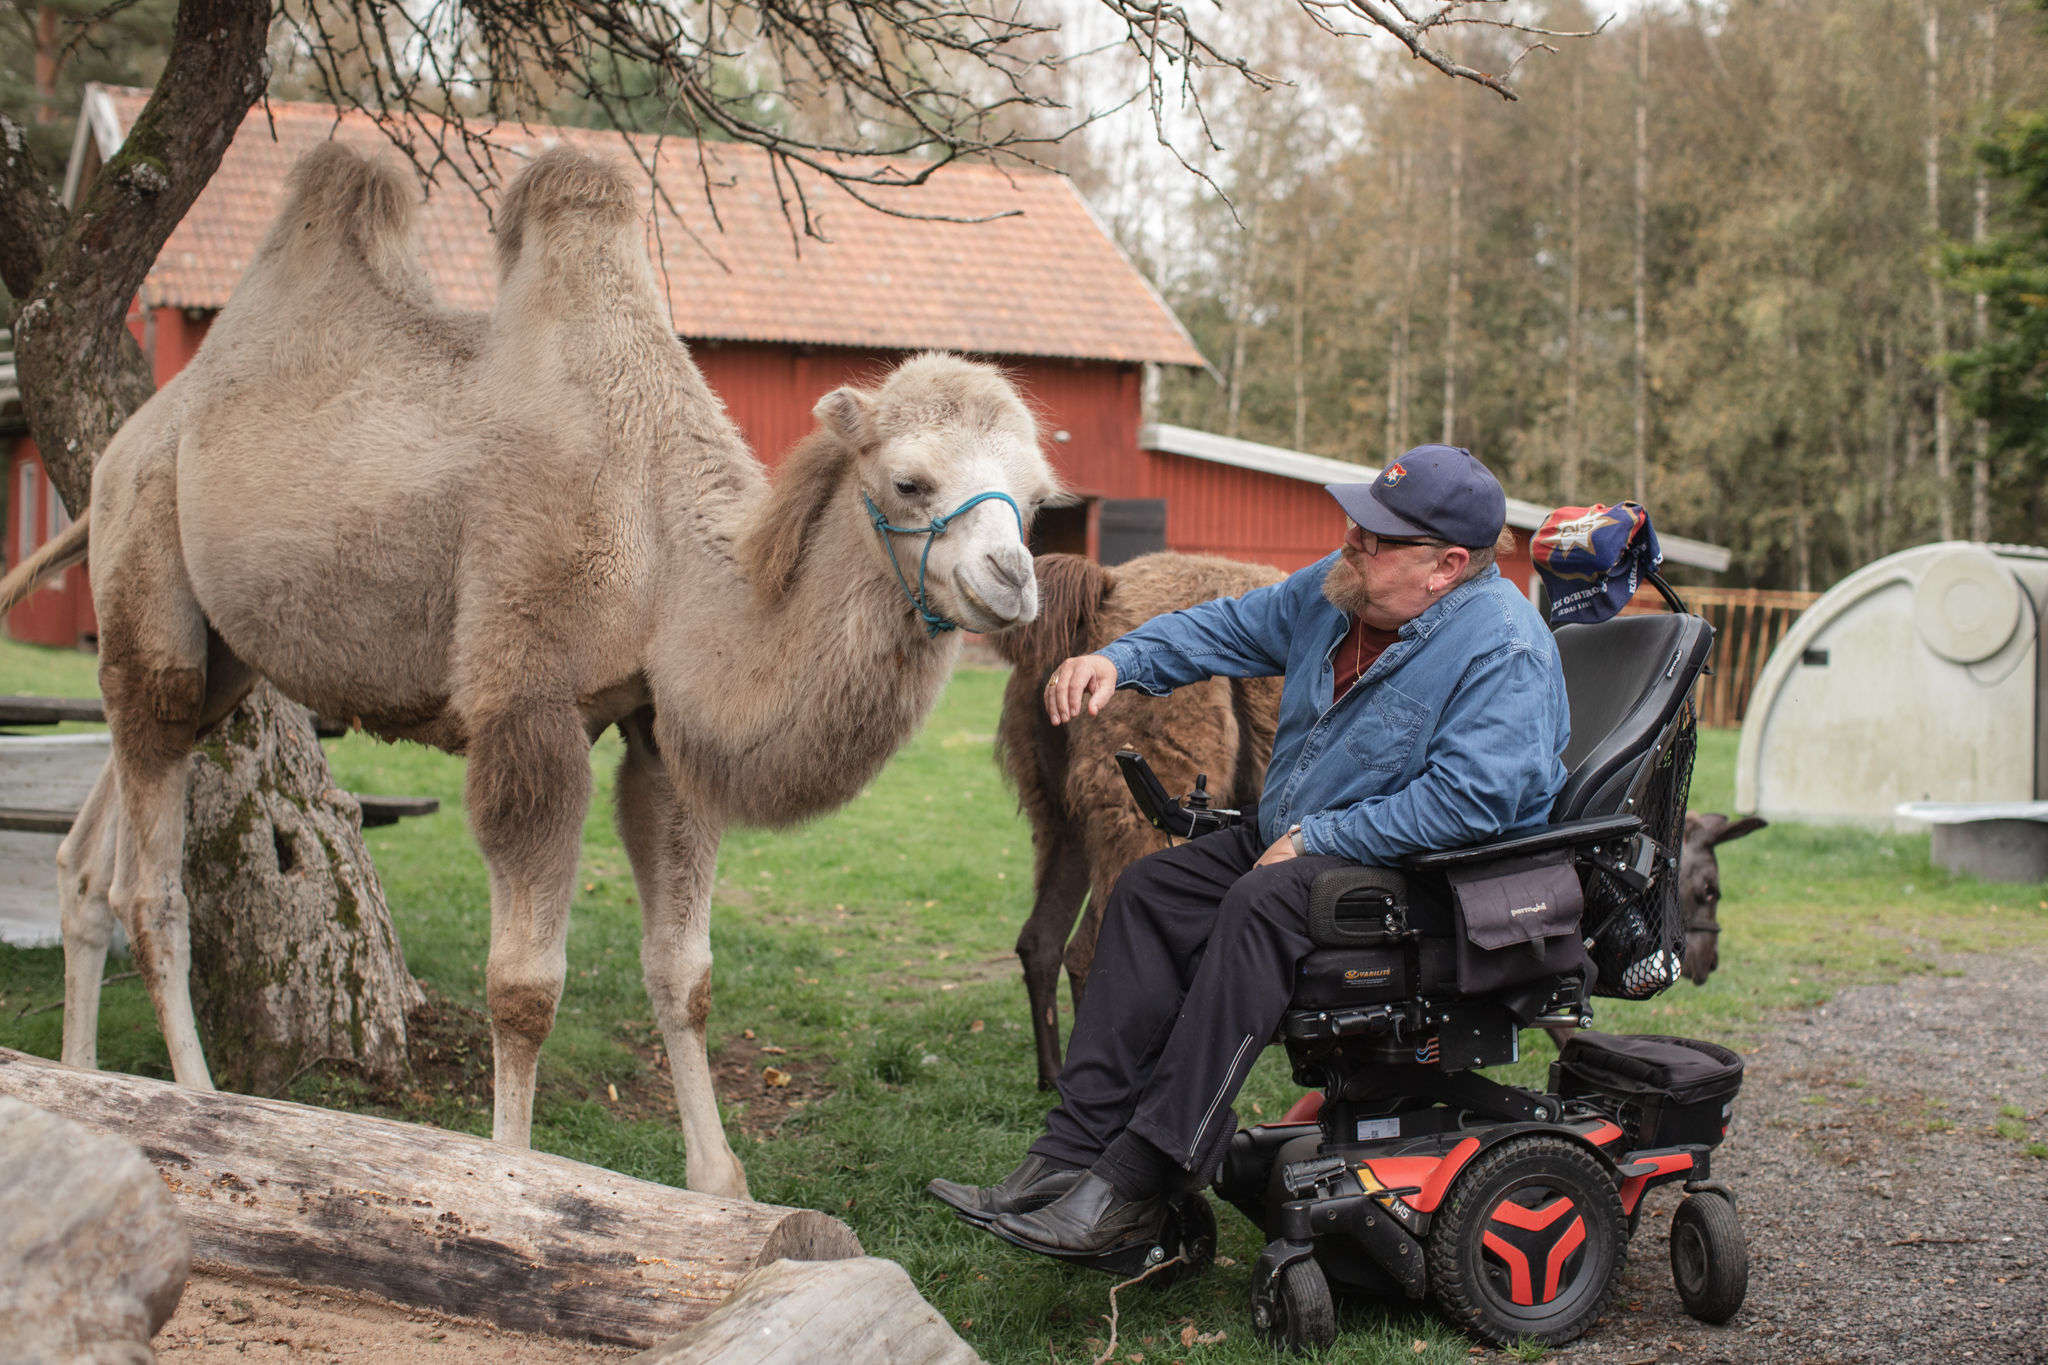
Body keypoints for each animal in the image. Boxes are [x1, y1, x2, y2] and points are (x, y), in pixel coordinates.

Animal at [0, 144, 1056, 1203]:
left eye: (1040, 499)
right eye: (911, 481)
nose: (1012, 580)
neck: (667, 546)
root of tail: (130, 440)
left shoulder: (656, 728)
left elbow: (685, 974)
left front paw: (720, 1187)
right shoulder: (528, 701)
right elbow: (524, 988)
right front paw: (512, 1177)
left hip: (222, 660)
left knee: (99, 841)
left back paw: (85, 1083)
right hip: (148, 552)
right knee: (152, 883)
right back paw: (194, 1100)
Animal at [987, 548, 1277, 1096]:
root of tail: (1103, 589)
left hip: (1068, 816)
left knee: (1040, 942)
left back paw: (1051, 1076)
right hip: (1142, 805)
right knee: (1090, 951)